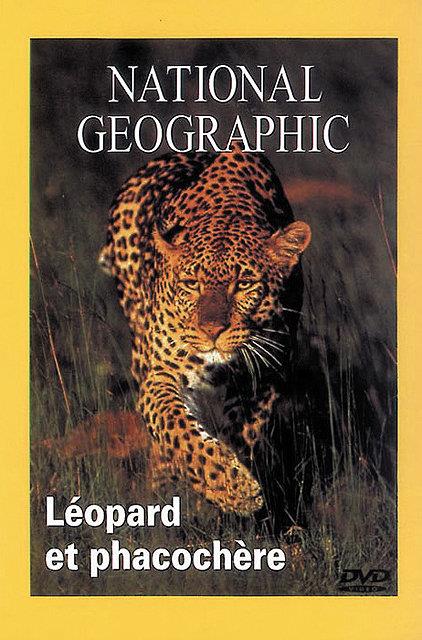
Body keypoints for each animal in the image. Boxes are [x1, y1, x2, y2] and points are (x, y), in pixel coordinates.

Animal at [99, 144, 311, 520]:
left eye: (244, 284)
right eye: (191, 284)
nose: (212, 330)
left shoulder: (264, 375)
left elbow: (244, 434)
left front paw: (223, 491)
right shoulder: (161, 372)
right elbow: (176, 429)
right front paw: (232, 488)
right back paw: (162, 483)